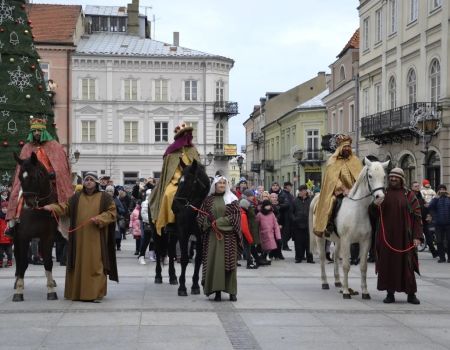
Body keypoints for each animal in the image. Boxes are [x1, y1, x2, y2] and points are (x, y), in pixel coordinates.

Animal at [11, 152, 59, 302]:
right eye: (20, 177)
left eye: (34, 177)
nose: (28, 204)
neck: (38, 210)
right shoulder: (23, 237)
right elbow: (22, 263)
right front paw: (19, 291)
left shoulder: (48, 237)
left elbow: (48, 262)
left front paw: (51, 290)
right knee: (18, 259)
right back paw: (17, 281)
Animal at [153, 160, 211, 296]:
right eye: (179, 181)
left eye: (190, 181)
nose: (175, 207)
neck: (194, 211)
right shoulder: (183, 233)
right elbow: (184, 258)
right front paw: (183, 288)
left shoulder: (200, 236)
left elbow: (199, 259)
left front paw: (195, 286)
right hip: (157, 231)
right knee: (158, 251)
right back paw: (158, 276)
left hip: (173, 234)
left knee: (170, 250)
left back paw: (173, 277)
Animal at [308, 158, 388, 298]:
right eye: (370, 176)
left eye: (384, 176)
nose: (380, 197)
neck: (358, 210)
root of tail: (317, 197)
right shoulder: (346, 240)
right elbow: (346, 265)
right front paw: (346, 292)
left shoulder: (365, 241)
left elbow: (363, 266)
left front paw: (365, 292)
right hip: (321, 238)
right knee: (323, 258)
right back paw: (325, 282)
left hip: (338, 240)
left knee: (335, 257)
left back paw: (337, 281)